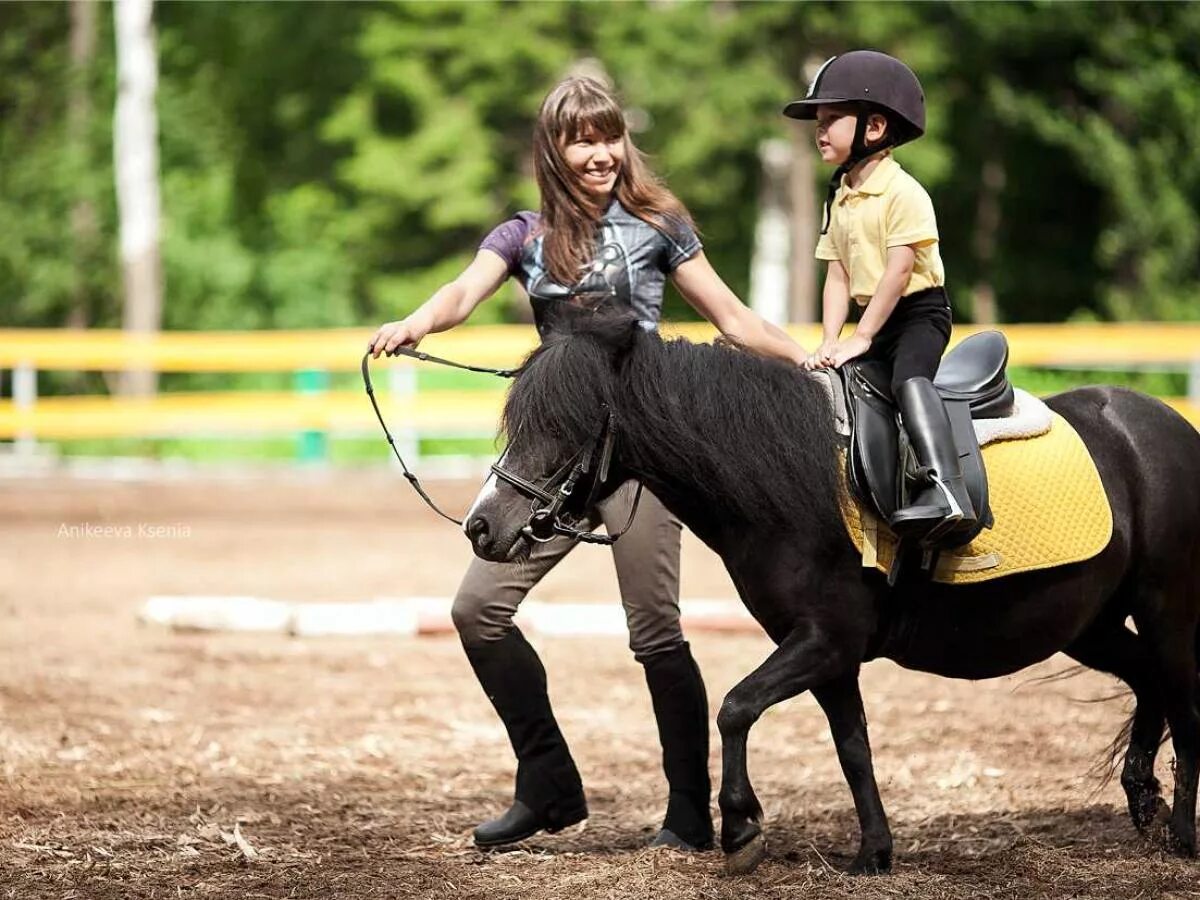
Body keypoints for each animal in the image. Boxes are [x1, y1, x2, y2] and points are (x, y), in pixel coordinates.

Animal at [463, 314, 1200, 878]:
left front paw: (741, 830)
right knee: (1150, 684)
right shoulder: (830, 656)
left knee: (1184, 706)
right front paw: (873, 853)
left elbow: (734, 708)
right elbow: (853, 748)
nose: (481, 526)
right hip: (1090, 624)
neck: (789, 481)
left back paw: (1183, 835)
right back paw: (1143, 798)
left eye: (564, 425)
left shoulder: (824, 640)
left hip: (1167, 609)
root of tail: (1165, 426)